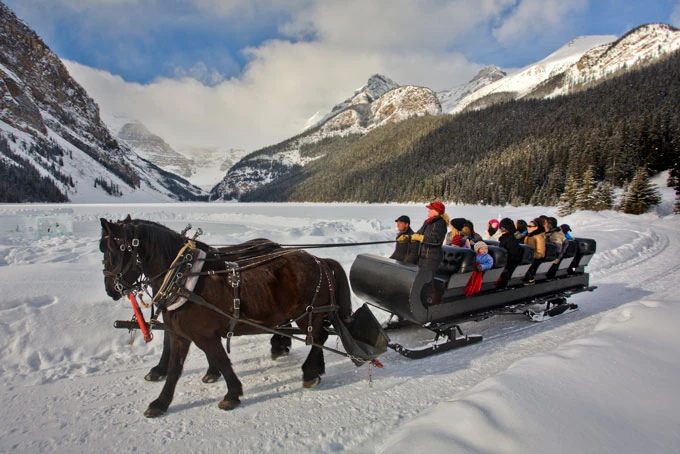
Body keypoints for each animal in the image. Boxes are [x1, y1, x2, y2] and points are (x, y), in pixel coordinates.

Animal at [103, 218, 354, 416]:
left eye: (113, 251)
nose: (110, 289)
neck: (183, 277)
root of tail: (319, 260)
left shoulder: (205, 336)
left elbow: (223, 361)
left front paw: (232, 393)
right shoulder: (180, 334)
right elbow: (175, 367)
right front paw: (160, 402)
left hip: (309, 315)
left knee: (319, 337)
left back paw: (309, 371)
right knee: (314, 337)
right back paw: (304, 361)